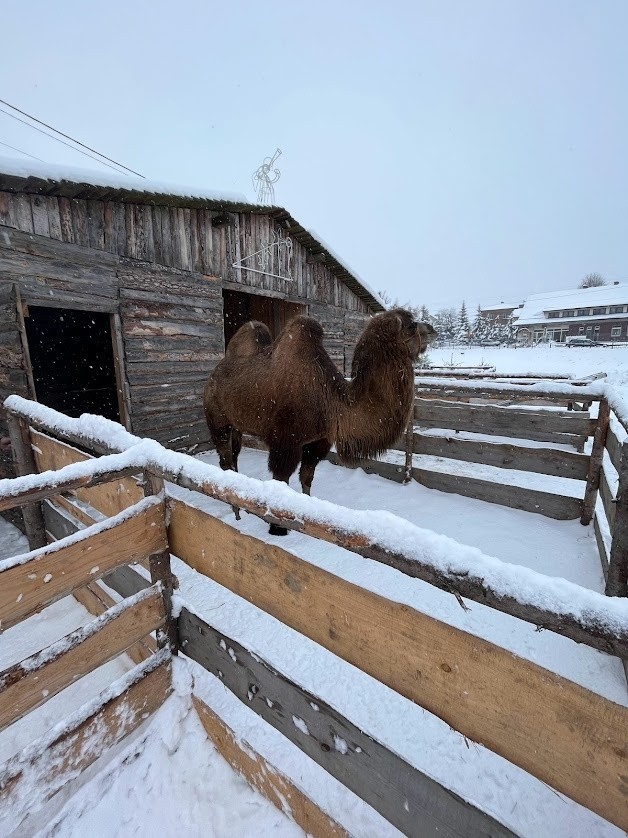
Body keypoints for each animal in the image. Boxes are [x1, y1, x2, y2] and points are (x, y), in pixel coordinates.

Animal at [204, 310, 434, 540]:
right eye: (411, 325)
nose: (432, 329)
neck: (330, 401)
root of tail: (213, 374)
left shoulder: (318, 442)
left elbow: (307, 478)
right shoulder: (285, 442)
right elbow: (281, 480)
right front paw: (278, 529)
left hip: (237, 426)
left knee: (233, 457)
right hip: (218, 422)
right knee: (225, 459)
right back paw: (236, 512)